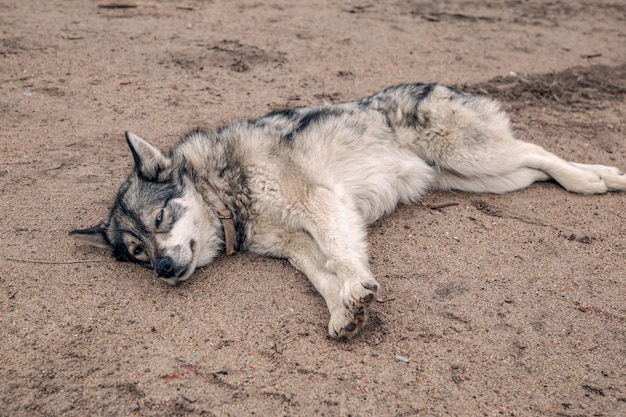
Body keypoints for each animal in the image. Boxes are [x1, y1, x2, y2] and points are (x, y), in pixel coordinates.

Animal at [69, 83, 624, 338]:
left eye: (160, 221)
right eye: (137, 253)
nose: (163, 269)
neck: (226, 192)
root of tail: (446, 86)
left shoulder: (319, 203)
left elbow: (339, 255)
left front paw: (356, 287)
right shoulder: (296, 245)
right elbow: (322, 275)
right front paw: (344, 311)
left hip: (477, 158)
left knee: (539, 151)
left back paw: (600, 179)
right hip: (485, 178)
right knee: (537, 167)